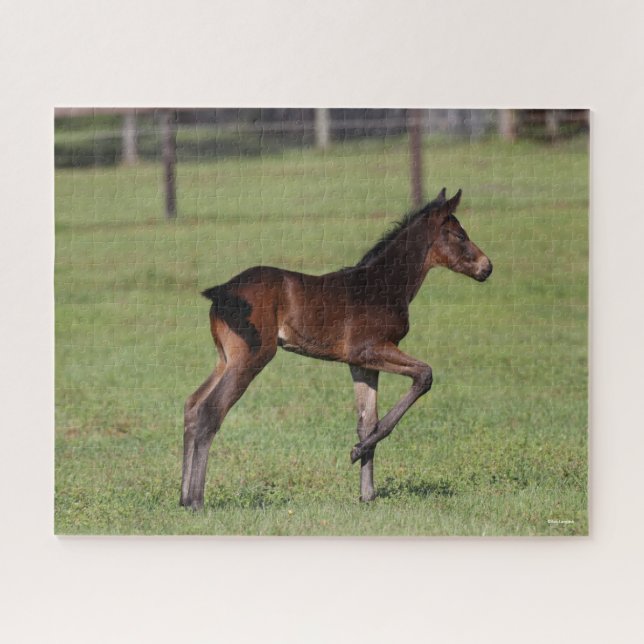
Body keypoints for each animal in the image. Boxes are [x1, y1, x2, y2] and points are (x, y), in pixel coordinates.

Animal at [180, 188, 492, 510]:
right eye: (460, 235)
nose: (487, 267)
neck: (383, 285)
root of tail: (220, 293)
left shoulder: (360, 364)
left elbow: (367, 421)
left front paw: (367, 493)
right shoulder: (370, 350)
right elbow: (424, 376)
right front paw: (355, 453)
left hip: (225, 359)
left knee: (192, 405)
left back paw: (182, 497)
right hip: (252, 356)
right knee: (211, 410)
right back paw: (196, 501)